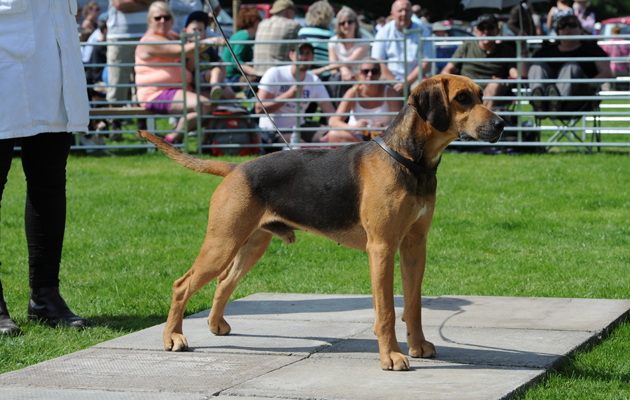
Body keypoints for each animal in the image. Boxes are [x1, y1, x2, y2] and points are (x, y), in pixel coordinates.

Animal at [139, 73, 508, 370]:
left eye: (481, 95)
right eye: (462, 98)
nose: (502, 124)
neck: (409, 160)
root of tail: (236, 167)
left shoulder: (415, 246)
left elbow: (413, 305)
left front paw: (417, 346)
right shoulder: (382, 248)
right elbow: (387, 311)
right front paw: (391, 356)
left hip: (250, 245)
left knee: (223, 281)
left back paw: (216, 325)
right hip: (222, 243)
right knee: (182, 285)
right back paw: (173, 337)